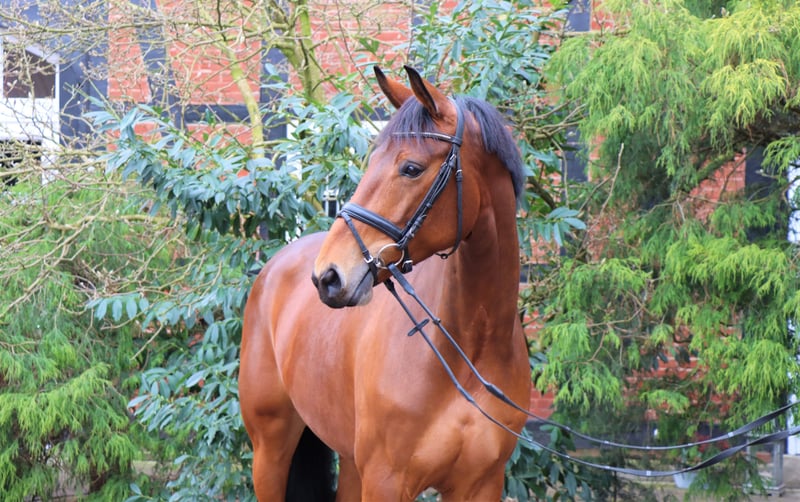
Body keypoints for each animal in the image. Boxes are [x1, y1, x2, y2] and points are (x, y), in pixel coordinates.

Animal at [239, 65, 530, 501]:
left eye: (411, 168)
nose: (328, 276)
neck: (468, 350)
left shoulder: (481, 484)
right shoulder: (387, 480)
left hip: (349, 462)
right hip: (270, 452)